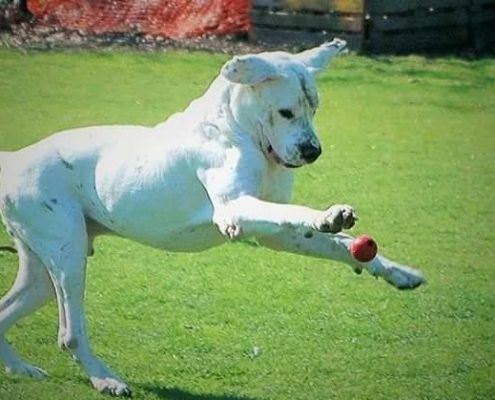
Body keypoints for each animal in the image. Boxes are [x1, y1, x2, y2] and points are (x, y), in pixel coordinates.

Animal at [0, 39, 426, 396]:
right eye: (286, 112)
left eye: (315, 108)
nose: (313, 151)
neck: (236, 128)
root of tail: (16, 158)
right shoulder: (235, 209)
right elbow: (298, 214)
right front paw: (328, 215)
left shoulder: (278, 234)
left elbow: (336, 244)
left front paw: (396, 271)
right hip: (67, 257)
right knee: (70, 333)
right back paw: (105, 378)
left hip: (44, 273)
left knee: (7, 311)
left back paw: (21, 369)